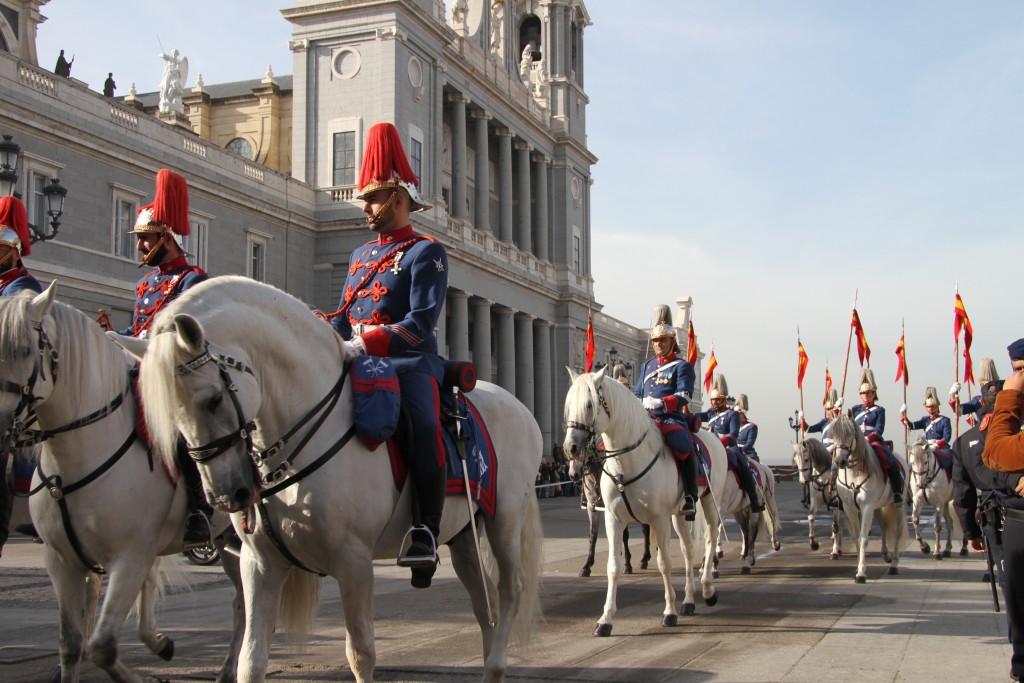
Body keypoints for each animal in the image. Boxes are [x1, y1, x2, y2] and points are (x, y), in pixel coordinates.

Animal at [0, 282, 243, 683]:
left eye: (22, 350)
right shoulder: (61, 561)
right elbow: (71, 644)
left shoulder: (129, 558)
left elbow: (102, 645)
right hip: (224, 539)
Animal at [115, 276, 540, 683]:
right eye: (163, 412)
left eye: (213, 399)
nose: (225, 495)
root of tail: (520, 406)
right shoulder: (260, 564)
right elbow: (251, 661)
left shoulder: (354, 563)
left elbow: (361, 654)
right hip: (463, 533)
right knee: (484, 601)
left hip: (504, 519)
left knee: (511, 589)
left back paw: (497, 664)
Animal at [561, 370, 729, 638]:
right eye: (568, 406)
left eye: (589, 404)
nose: (571, 449)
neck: (627, 461)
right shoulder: (613, 517)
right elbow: (613, 565)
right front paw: (605, 619)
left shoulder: (658, 518)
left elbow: (664, 563)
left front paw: (669, 612)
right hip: (679, 514)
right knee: (688, 549)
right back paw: (689, 601)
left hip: (709, 502)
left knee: (711, 538)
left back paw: (708, 589)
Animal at [827, 411, 909, 581]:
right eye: (833, 435)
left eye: (850, 434)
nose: (839, 461)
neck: (855, 472)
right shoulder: (850, 508)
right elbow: (856, 537)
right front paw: (859, 566)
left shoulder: (867, 506)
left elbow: (863, 538)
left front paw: (861, 573)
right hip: (878, 506)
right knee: (884, 525)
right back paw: (886, 554)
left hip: (897, 504)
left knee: (897, 531)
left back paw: (894, 564)